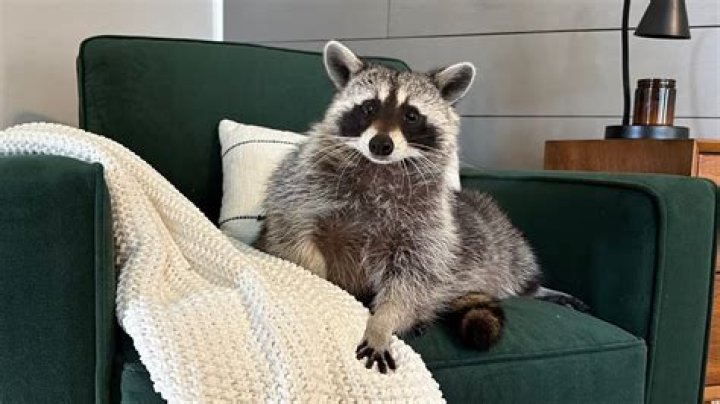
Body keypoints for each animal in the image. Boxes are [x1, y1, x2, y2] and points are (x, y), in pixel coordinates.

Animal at [255, 41, 586, 373]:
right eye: (368, 107)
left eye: (411, 115)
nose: (380, 144)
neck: (381, 169)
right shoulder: (301, 188)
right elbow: (294, 238)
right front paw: (323, 281)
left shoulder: (429, 227)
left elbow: (413, 279)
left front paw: (383, 322)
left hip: (503, 242)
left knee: (517, 272)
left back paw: (536, 289)